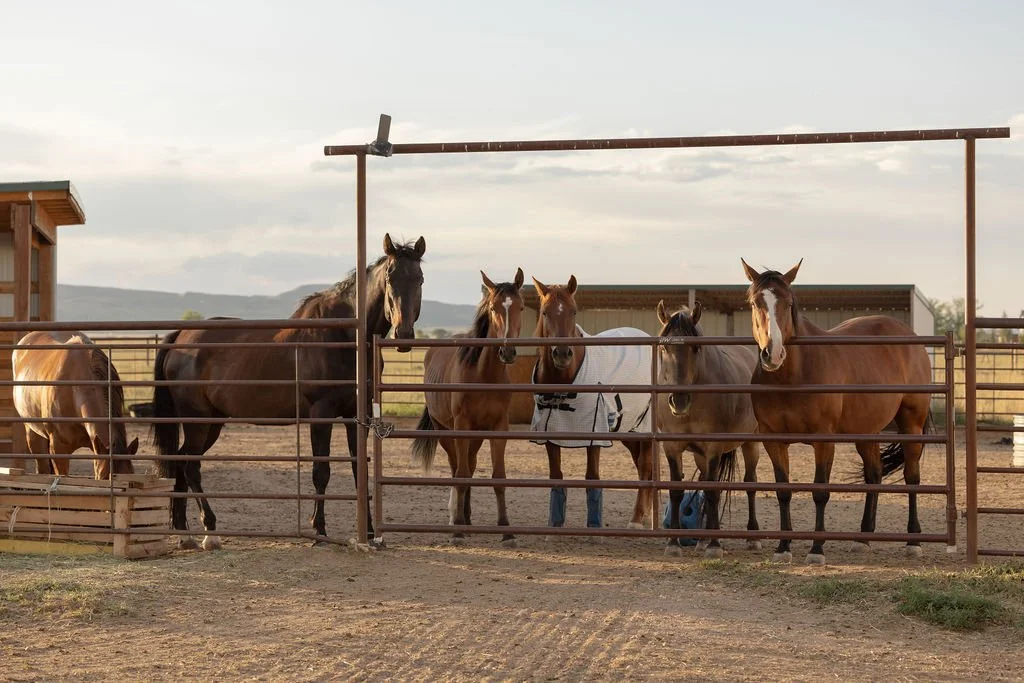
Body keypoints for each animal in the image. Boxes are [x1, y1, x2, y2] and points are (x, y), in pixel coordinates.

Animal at [152, 234, 425, 550]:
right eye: (390, 277)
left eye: (419, 278)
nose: (403, 335)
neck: (346, 337)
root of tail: (180, 337)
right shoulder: (321, 415)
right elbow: (321, 472)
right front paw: (319, 531)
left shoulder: (357, 416)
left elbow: (360, 471)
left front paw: (368, 532)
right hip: (198, 420)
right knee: (190, 465)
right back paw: (210, 532)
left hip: (213, 422)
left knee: (181, 462)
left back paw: (184, 533)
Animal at [411, 268, 525, 546]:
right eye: (493, 308)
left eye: (521, 307)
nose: (507, 352)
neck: (483, 375)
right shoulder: (461, 427)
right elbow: (461, 474)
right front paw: (458, 531)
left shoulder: (499, 429)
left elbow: (498, 477)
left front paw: (506, 530)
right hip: (445, 431)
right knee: (457, 469)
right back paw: (458, 519)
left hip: (475, 437)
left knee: (470, 467)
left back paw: (468, 518)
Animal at [530, 275, 655, 530]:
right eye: (545, 312)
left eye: (574, 311)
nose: (562, 354)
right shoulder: (550, 434)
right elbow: (556, 476)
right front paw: (554, 526)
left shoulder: (594, 433)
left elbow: (592, 477)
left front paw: (594, 527)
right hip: (629, 429)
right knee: (641, 467)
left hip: (645, 427)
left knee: (645, 465)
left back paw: (637, 519)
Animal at [655, 300, 762, 558]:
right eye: (663, 348)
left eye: (696, 349)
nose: (679, 401)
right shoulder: (672, 447)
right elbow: (677, 491)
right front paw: (674, 544)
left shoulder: (714, 447)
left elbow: (713, 492)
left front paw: (715, 546)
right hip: (699, 454)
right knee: (704, 482)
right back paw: (702, 539)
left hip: (751, 442)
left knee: (750, 483)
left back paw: (752, 537)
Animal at [741, 258, 932, 565]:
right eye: (755, 302)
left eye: (788, 302)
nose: (773, 353)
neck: (792, 376)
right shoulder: (773, 440)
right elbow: (783, 492)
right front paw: (783, 547)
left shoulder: (824, 440)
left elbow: (820, 492)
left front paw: (817, 549)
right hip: (866, 430)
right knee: (874, 474)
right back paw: (863, 538)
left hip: (911, 423)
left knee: (911, 477)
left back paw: (913, 541)